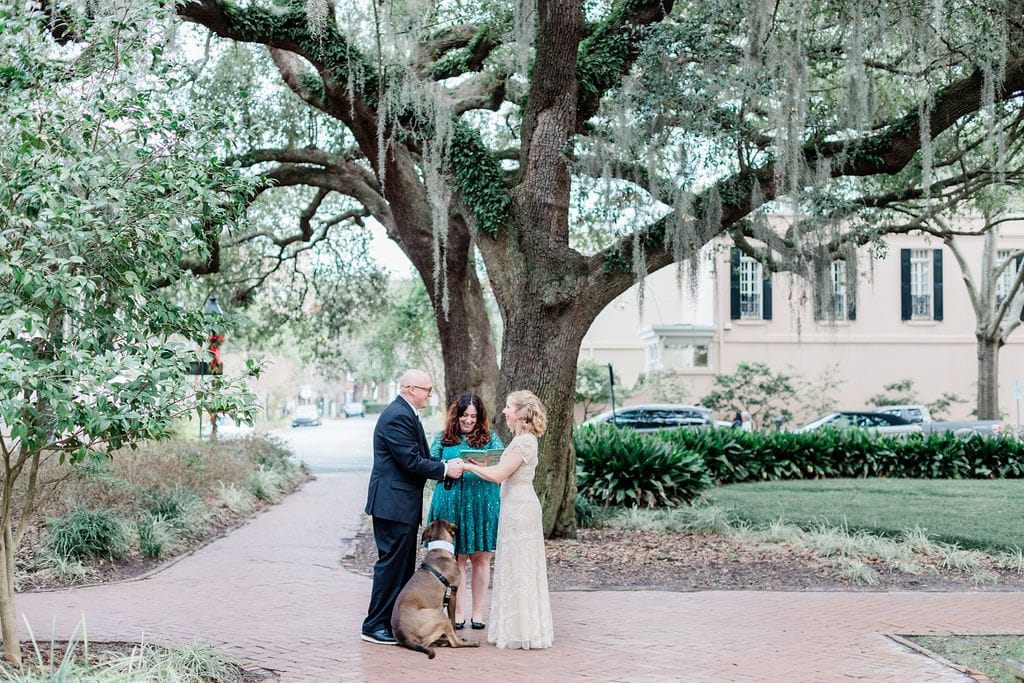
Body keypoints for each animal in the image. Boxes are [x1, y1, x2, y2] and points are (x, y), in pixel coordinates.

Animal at [391, 520, 479, 659]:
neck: (439, 550)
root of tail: (404, 637)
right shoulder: (452, 593)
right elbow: (453, 621)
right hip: (439, 615)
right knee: (453, 643)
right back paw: (468, 642)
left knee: (431, 642)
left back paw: (443, 640)